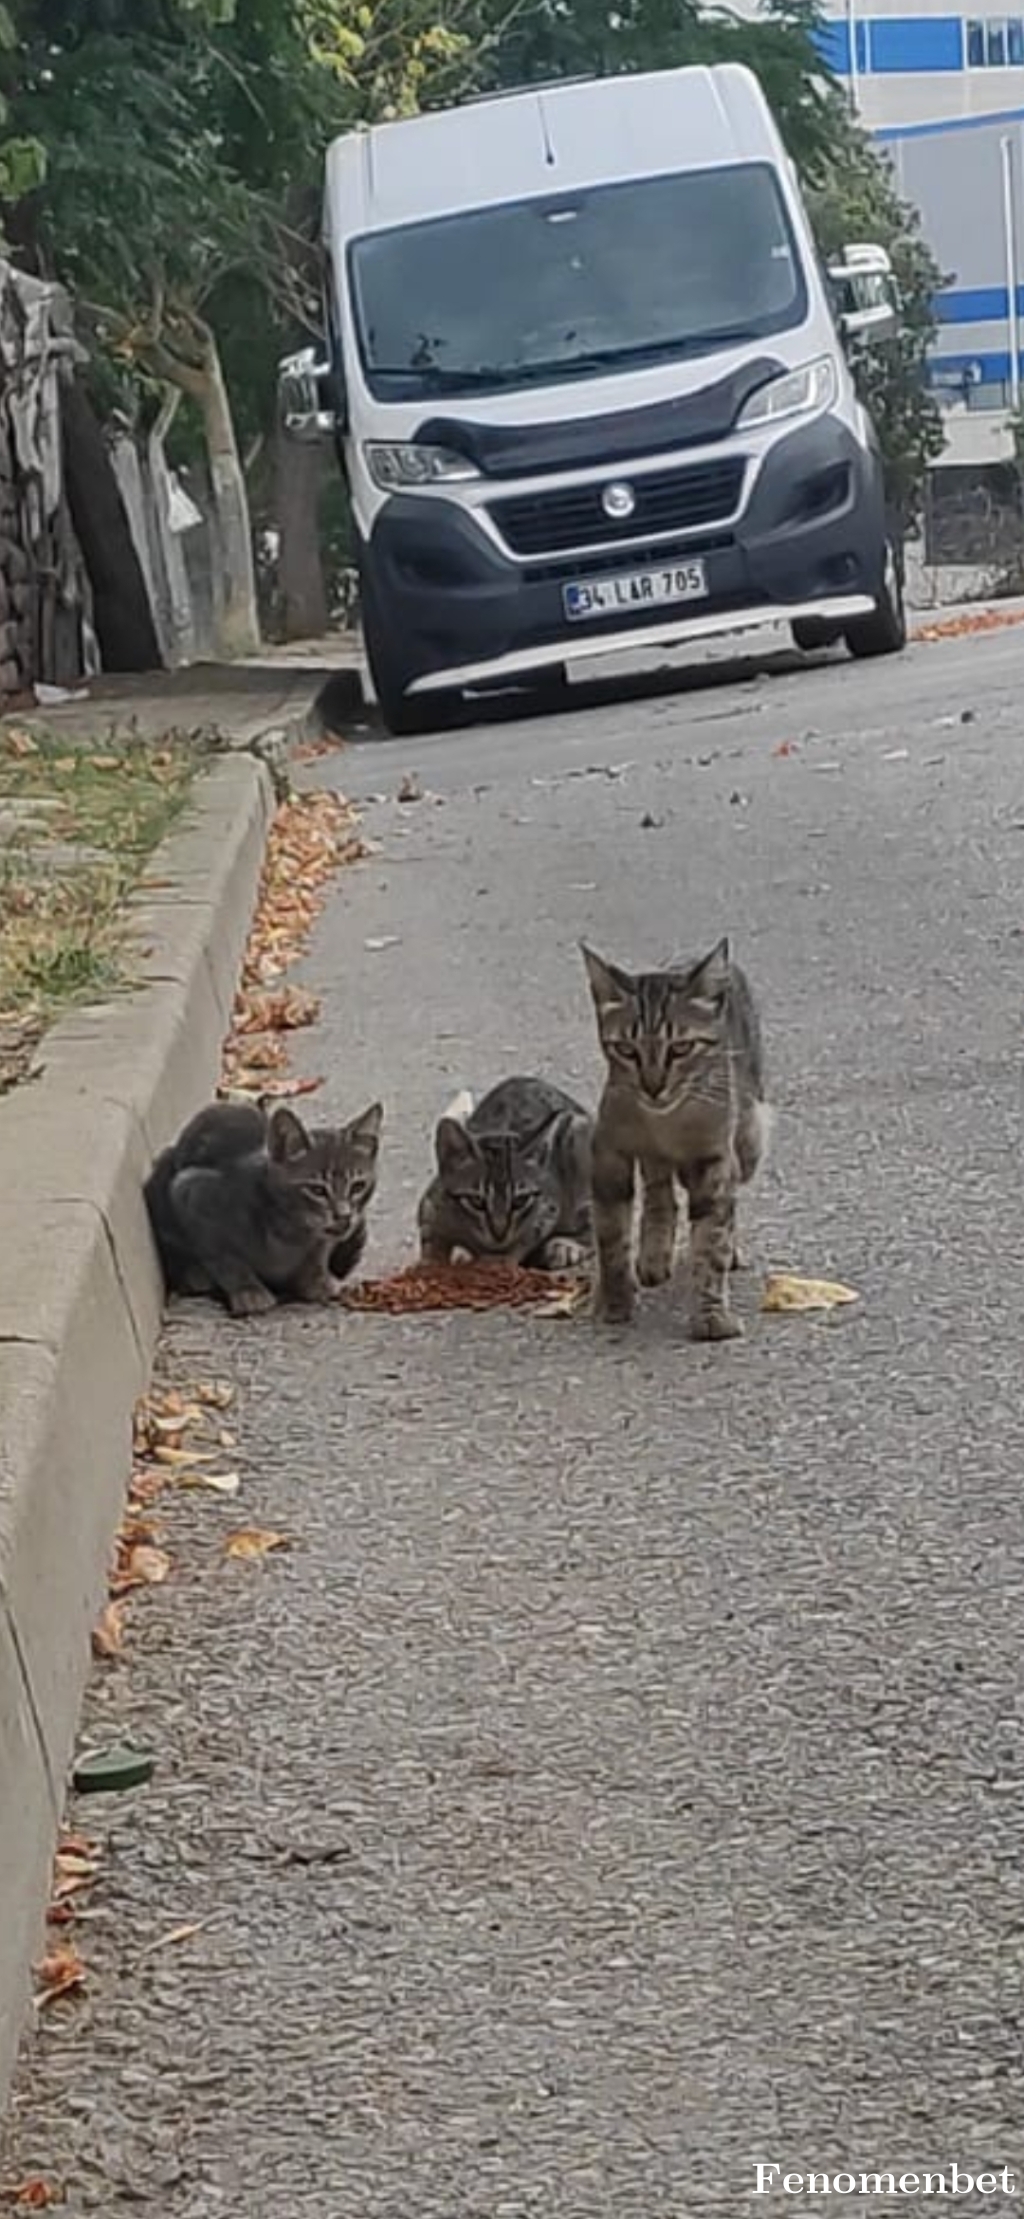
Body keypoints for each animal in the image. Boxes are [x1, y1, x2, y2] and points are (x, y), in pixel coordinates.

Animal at [145, 1096, 382, 1313]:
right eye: (317, 1190)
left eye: (358, 1186)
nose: (344, 1215)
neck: (292, 1232)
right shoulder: (191, 1193)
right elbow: (224, 1258)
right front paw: (248, 1290)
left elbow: (319, 1253)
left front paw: (316, 1280)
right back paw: (195, 1275)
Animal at [415, 1073, 590, 1269]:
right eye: (476, 1201)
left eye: (520, 1201)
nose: (499, 1233)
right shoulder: (429, 1210)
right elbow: (431, 1245)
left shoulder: (545, 1210)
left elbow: (518, 1245)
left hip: (577, 1133)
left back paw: (565, 1245)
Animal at [577, 936, 764, 1331]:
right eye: (626, 1049)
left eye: (681, 1047)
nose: (653, 1087)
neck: (664, 1125)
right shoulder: (608, 1153)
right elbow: (612, 1236)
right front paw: (615, 1301)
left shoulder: (715, 1158)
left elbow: (711, 1238)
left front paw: (712, 1314)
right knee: (660, 1193)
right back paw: (653, 1255)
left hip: (749, 1139)